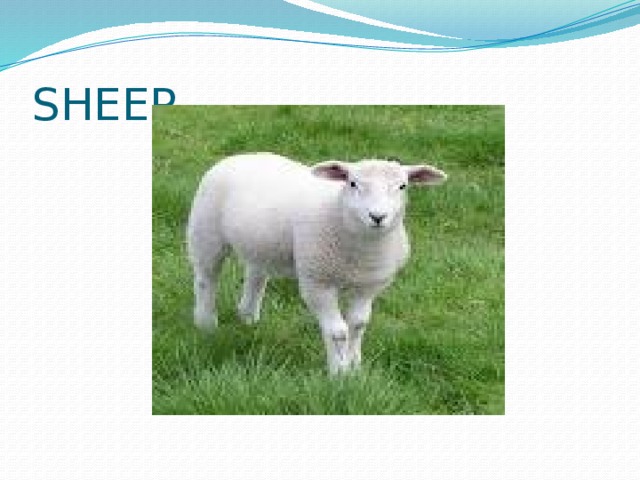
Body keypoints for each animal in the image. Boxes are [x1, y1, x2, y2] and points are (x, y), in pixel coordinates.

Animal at [187, 153, 447, 374]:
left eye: (403, 186)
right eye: (352, 183)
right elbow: (337, 331)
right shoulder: (318, 282)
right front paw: (339, 373)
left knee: (256, 275)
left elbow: (358, 324)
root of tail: (241, 155)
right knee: (205, 279)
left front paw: (354, 365)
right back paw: (206, 323)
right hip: (206, 232)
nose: (377, 217)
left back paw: (248, 317)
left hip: (261, 243)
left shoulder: (368, 285)